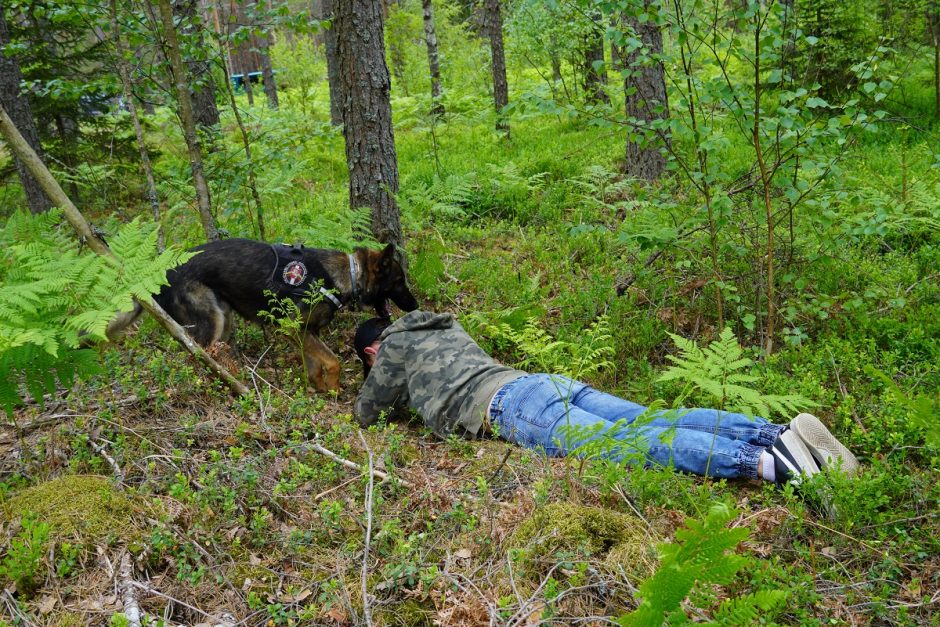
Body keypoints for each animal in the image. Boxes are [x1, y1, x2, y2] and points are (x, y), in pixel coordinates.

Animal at [107, 238, 418, 390]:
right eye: (399, 281)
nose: (415, 306)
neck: (347, 275)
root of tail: (162, 275)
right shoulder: (293, 329)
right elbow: (332, 362)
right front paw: (333, 389)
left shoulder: (306, 333)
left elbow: (314, 366)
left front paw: (317, 391)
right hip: (211, 323)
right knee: (193, 357)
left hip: (224, 319)